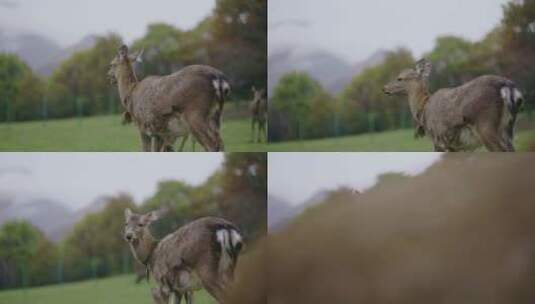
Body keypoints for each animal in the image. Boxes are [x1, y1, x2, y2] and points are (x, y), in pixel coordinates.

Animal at [384, 58, 524, 151]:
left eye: (400, 78)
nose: (384, 88)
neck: (423, 110)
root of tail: (507, 86)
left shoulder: (440, 142)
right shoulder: (460, 148)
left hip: (485, 125)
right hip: (508, 127)